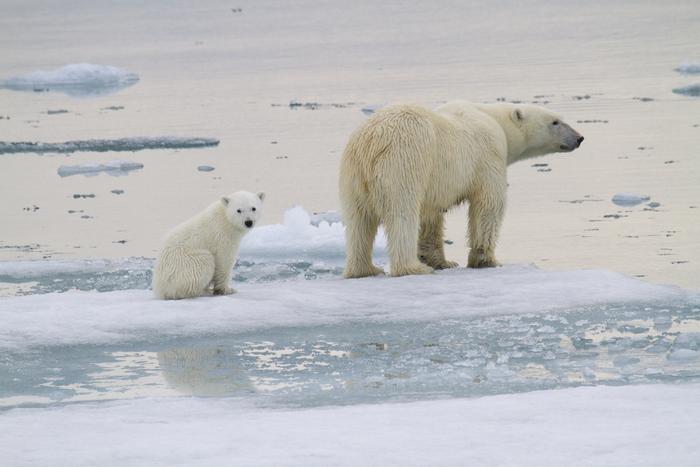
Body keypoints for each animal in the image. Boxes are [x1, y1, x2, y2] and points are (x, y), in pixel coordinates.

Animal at [339, 100, 583, 278]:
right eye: (555, 122)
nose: (579, 138)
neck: (495, 121)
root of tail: (371, 143)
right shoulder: (488, 156)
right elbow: (488, 205)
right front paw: (486, 260)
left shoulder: (435, 183)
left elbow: (431, 216)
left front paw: (442, 261)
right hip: (404, 163)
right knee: (402, 214)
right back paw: (412, 268)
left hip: (353, 176)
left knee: (358, 222)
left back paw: (365, 269)